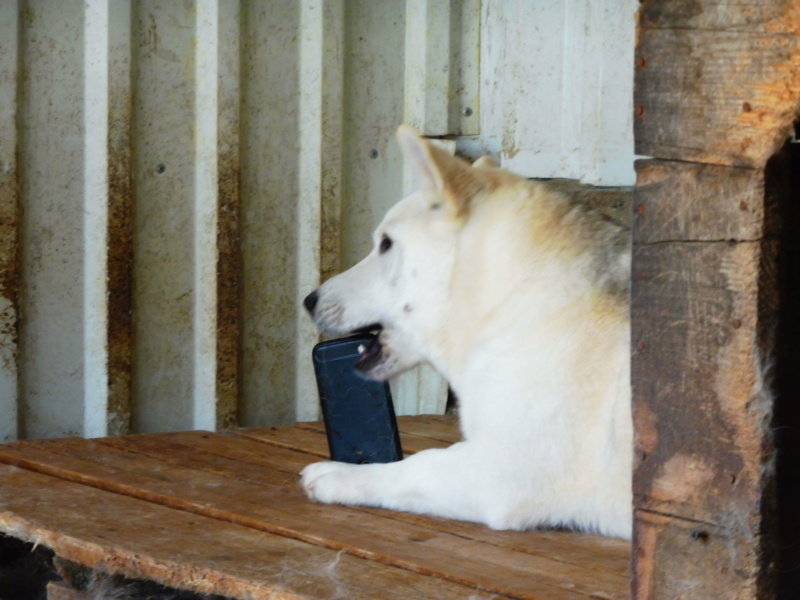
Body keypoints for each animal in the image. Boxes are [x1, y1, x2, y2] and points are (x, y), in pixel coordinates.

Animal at [300, 124, 632, 536]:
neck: (514, 299)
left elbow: (419, 465)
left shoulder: (496, 478)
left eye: (386, 244)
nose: (309, 300)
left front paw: (339, 474)